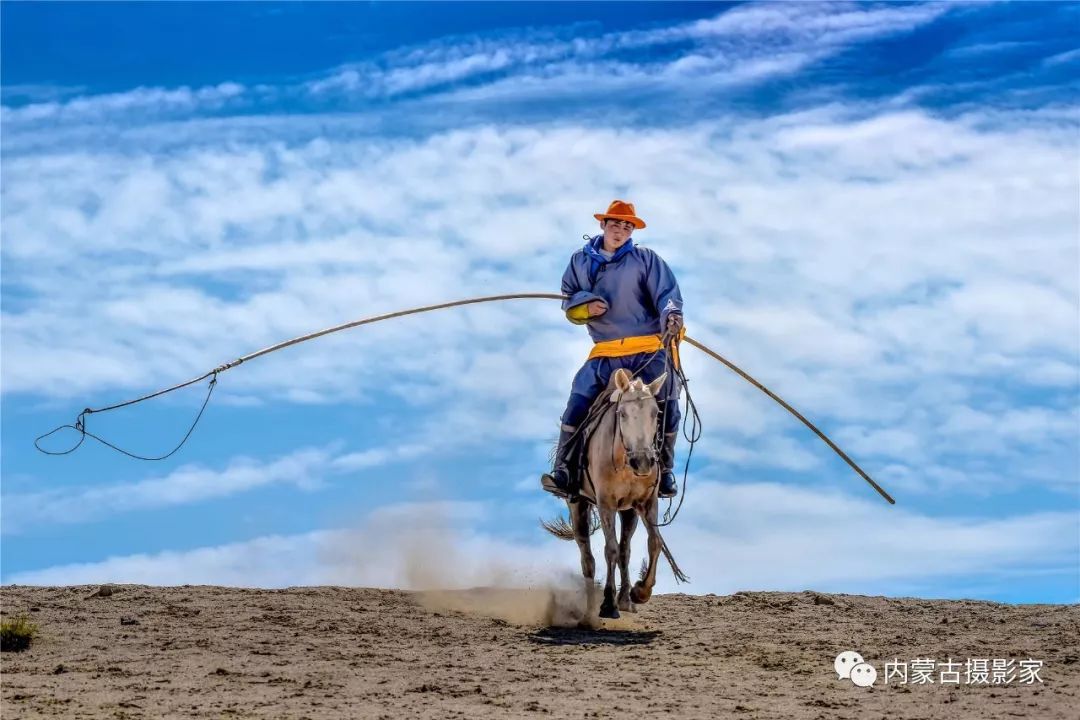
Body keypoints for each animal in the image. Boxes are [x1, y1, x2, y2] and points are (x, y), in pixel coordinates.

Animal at [544, 369, 686, 621]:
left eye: (656, 413)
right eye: (622, 414)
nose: (642, 461)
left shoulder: (646, 502)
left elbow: (654, 543)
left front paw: (640, 592)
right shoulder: (605, 503)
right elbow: (609, 549)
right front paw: (608, 605)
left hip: (629, 512)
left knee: (625, 550)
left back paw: (625, 599)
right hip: (578, 505)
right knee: (587, 558)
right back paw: (590, 611)